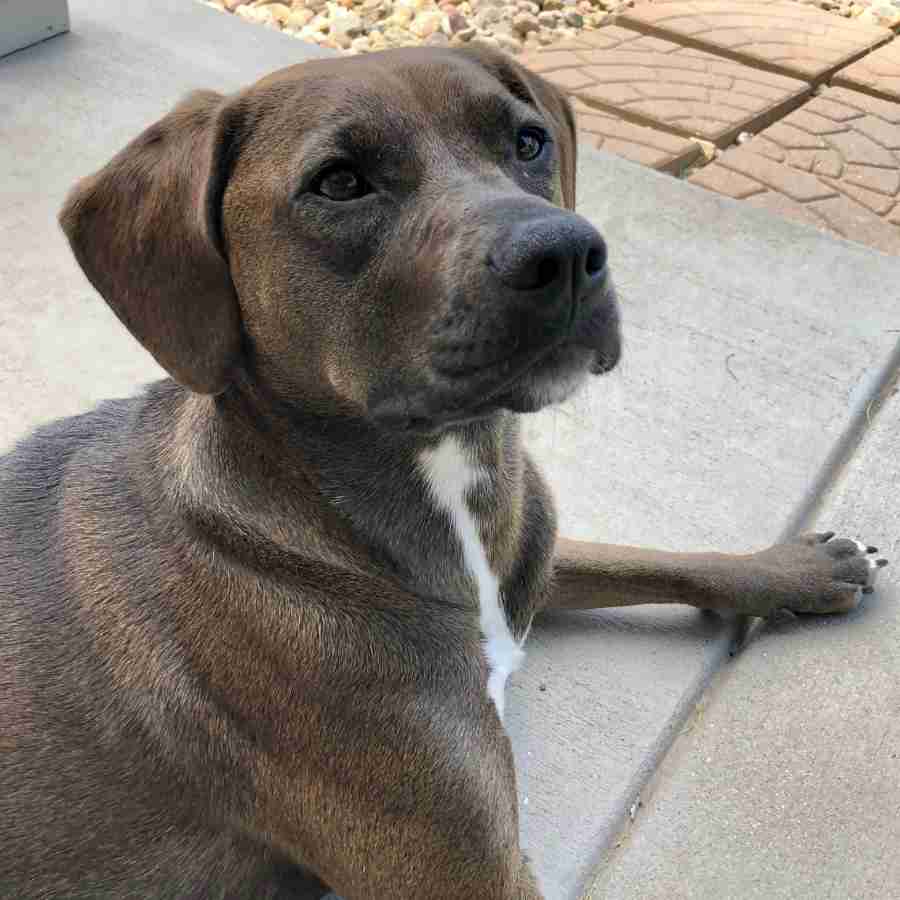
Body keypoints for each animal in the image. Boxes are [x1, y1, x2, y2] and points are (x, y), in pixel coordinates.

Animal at [0, 47, 884, 900]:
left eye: (528, 141)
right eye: (340, 182)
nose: (566, 254)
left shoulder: (531, 559)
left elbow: (652, 559)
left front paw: (791, 569)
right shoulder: (466, 869)